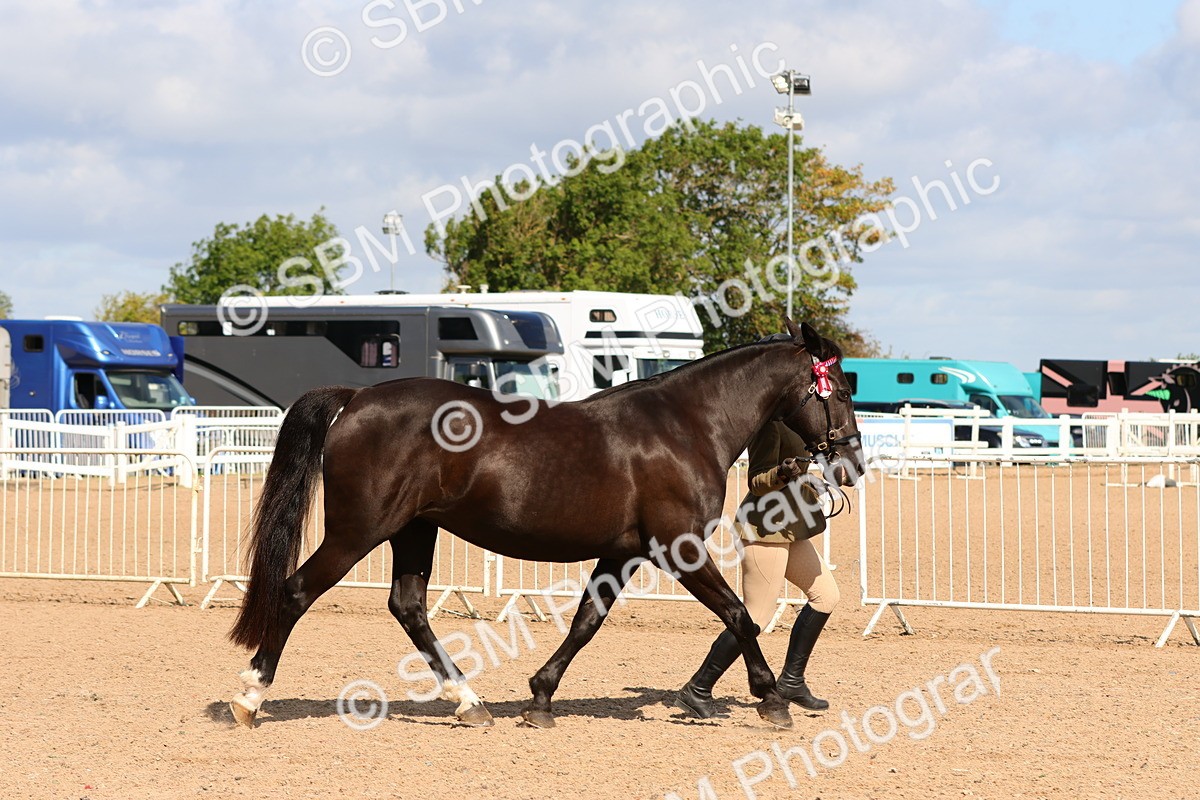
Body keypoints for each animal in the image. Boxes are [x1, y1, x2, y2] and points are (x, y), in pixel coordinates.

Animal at [227, 319, 863, 730]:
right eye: (840, 388)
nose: (852, 462)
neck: (685, 426)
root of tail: (357, 397)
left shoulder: (623, 552)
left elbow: (587, 622)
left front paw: (540, 697)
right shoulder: (677, 548)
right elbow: (738, 615)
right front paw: (770, 699)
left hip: (414, 530)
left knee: (408, 607)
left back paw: (471, 703)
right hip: (359, 532)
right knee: (295, 591)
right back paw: (249, 699)